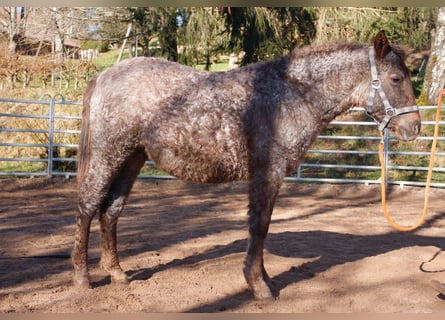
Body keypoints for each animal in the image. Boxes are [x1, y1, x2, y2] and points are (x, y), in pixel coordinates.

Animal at [72, 31, 420, 298]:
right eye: (395, 78)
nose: (414, 127)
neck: (290, 94)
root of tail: (103, 75)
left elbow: (260, 228)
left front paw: (261, 280)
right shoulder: (267, 174)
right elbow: (260, 226)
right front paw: (260, 286)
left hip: (132, 158)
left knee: (111, 210)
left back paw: (118, 273)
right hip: (108, 155)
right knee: (88, 206)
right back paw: (82, 278)